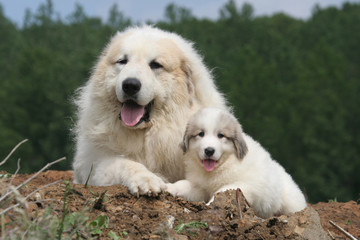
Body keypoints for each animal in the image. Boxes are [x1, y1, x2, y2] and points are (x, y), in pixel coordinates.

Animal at [71, 25, 226, 196]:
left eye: (155, 64)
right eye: (122, 61)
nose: (130, 85)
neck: (149, 135)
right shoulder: (93, 162)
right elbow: (124, 163)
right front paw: (146, 179)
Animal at [166, 108, 306, 218]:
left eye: (221, 135)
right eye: (201, 134)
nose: (209, 150)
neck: (221, 166)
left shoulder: (243, 185)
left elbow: (221, 191)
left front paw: (211, 204)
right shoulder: (201, 187)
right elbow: (184, 184)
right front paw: (169, 187)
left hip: (290, 201)